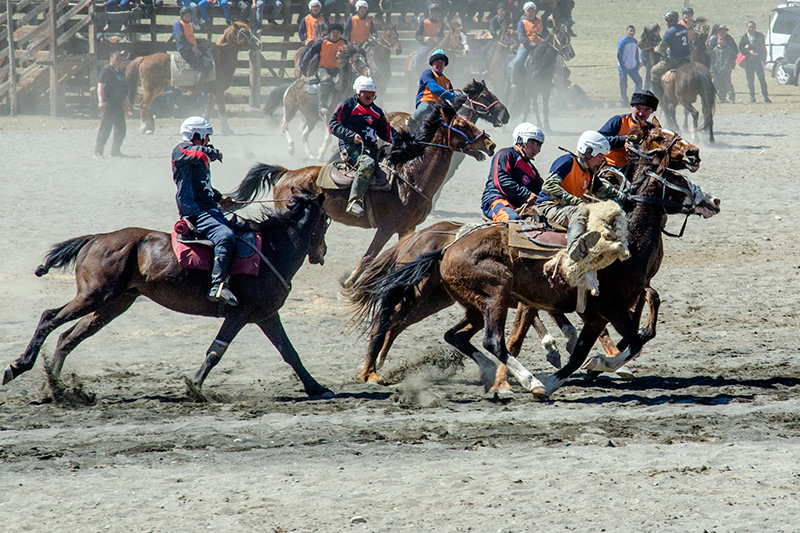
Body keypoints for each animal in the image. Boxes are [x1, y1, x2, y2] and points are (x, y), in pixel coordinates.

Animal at [3, 189, 334, 396]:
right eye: (327, 219)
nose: (322, 253)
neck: (273, 249)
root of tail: (96, 238)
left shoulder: (266, 315)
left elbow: (289, 352)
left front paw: (316, 387)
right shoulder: (240, 314)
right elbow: (215, 351)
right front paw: (194, 387)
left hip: (112, 304)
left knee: (68, 337)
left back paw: (56, 388)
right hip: (94, 296)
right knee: (50, 317)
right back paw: (19, 366)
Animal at [125, 22, 260, 135]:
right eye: (246, 32)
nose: (260, 44)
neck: (220, 57)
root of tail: (144, 58)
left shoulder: (212, 93)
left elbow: (208, 109)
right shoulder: (219, 91)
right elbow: (222, 110)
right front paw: (227, 130)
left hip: (158, 89)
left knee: (147, 104)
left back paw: (150, 127)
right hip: (152, 88)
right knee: (144, 104)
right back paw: (145, 128)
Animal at [228, 104, 496, 288]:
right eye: (462, 125)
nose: (490, 144)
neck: (410, 178)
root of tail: (287, 173)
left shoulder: (406, 228)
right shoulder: (387, 227)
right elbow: (369, 256)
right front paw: (349, 281)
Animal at [350, 127, 720, 396]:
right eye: (678, 180)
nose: (713, 200)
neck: (628, 244)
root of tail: (442, 247)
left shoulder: (599, 311)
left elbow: (592, 346)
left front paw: (575, 370)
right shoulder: (608, 306)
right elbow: (632, 339)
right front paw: (594, 364)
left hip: (463, 302)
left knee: (451, 335)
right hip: (489, 294)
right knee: (479, 338)